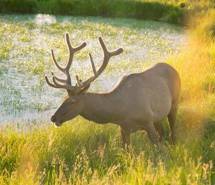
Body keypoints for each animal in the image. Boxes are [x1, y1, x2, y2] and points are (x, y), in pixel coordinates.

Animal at [45, 32, 180, 147]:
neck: (119, 112)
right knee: (163, 132)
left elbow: (159, 150)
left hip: (174, 102)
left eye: (72, 101)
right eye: (64, 98)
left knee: (172, 130)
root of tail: (173, 68)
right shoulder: (124, 128)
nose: (53, 118)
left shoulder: (147, 120)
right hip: (158, 117)